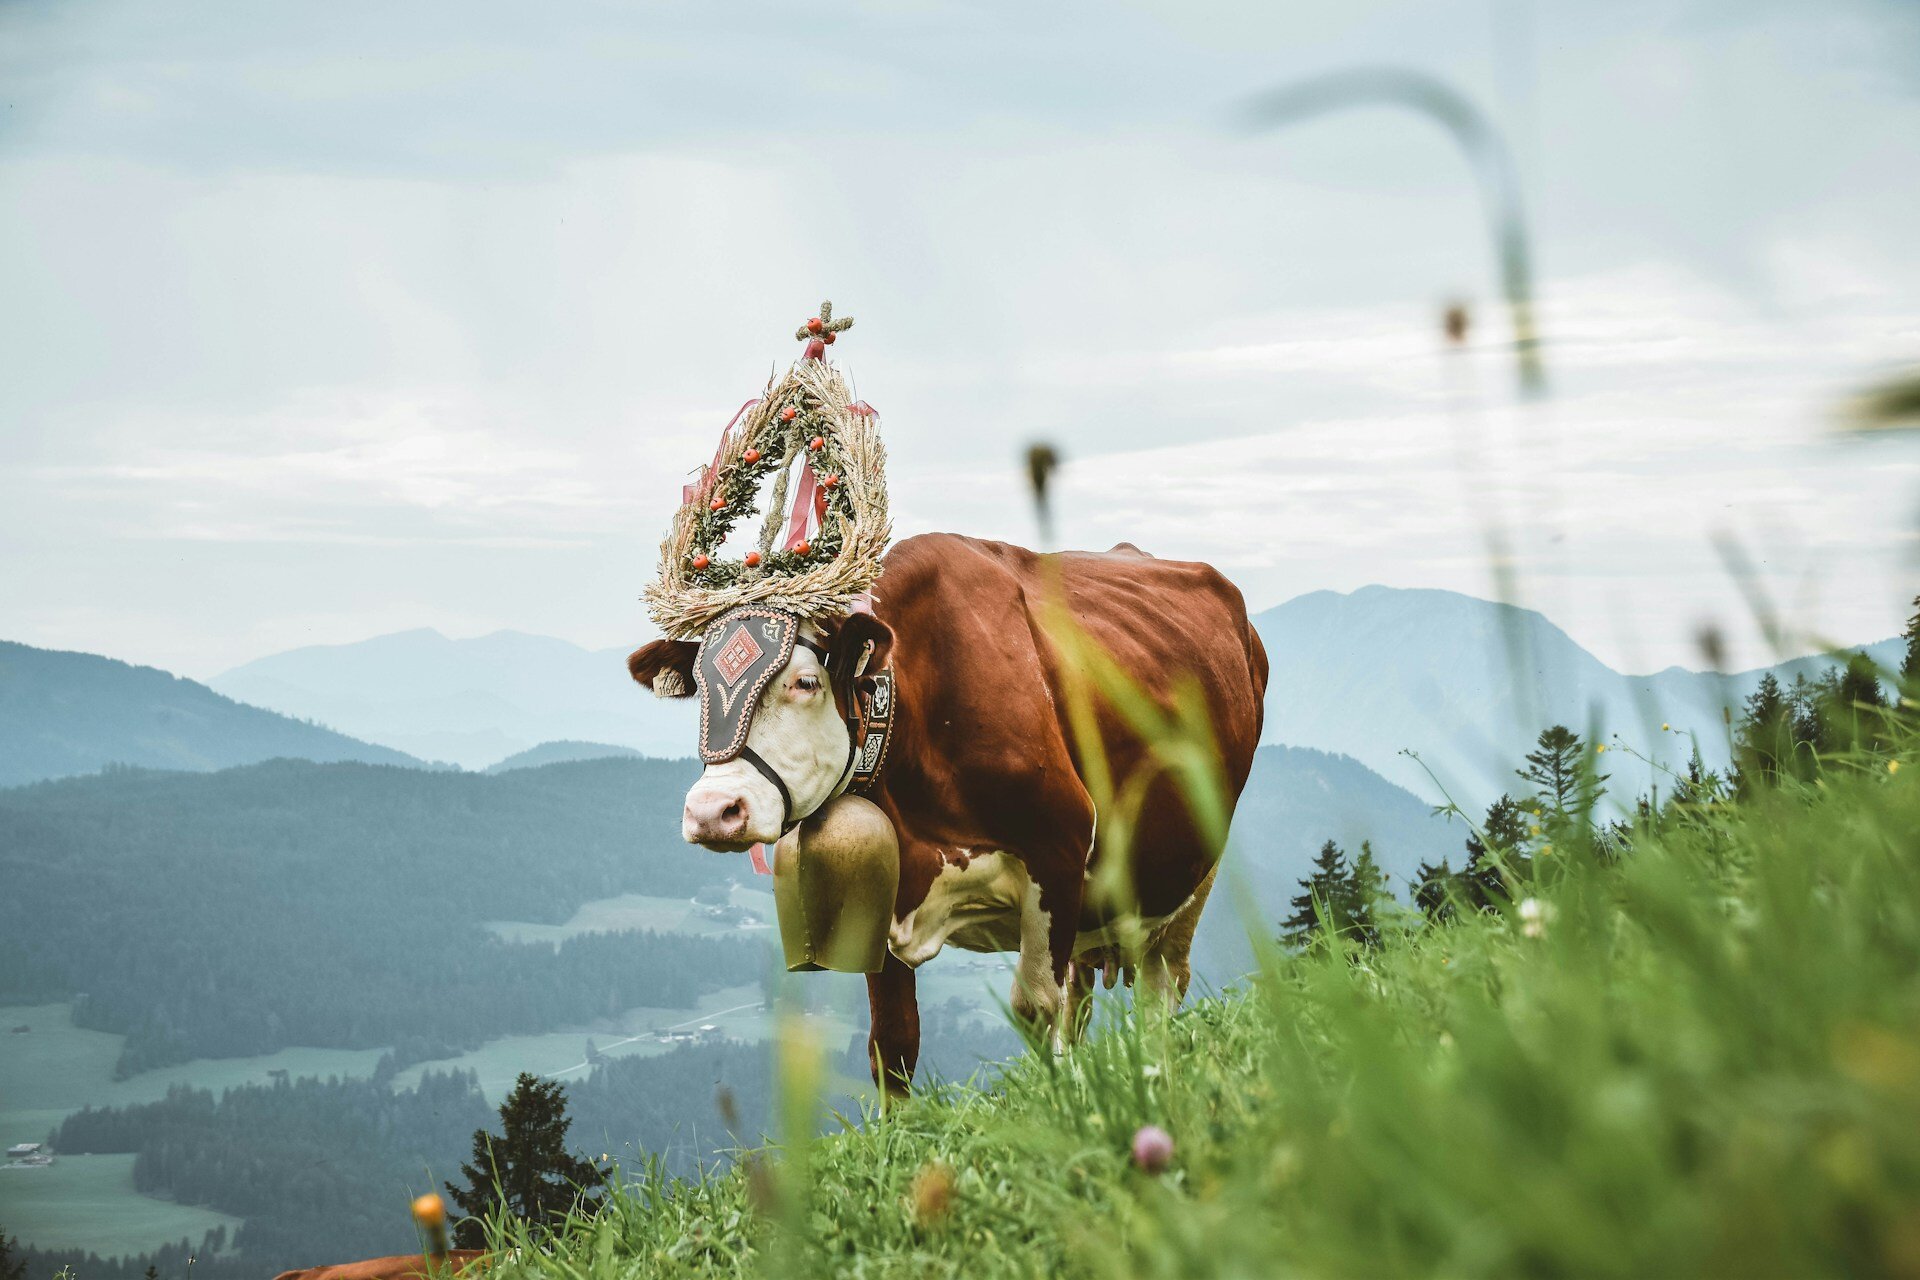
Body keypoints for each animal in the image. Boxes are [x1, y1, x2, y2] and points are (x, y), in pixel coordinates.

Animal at [625, 529, 1274, 1090]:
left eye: (805, 682)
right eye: (700, 692)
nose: (713, 811)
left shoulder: (1059, 851)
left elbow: (1033, 1009)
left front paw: (1055, 1108)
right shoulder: (882, 884)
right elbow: (892, 1044)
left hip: (1190, 875)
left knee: (1159, 989)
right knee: (1082, 999)